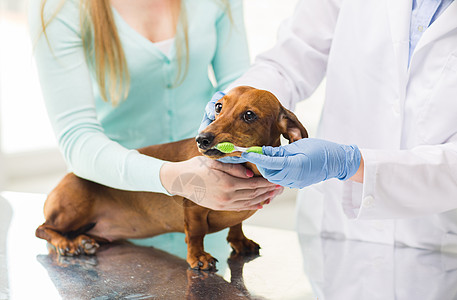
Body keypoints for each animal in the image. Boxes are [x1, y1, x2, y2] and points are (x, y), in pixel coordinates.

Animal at [35, 85, 306, 270]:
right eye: (218, 106)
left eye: (249, 115)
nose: (202, 139)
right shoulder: (193, 210)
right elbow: (196, 234)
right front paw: (198, 257)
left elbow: (236, 224)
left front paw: (240, 241)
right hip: (73, 208)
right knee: (43, 229)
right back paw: (67, 244)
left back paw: (83, 241)